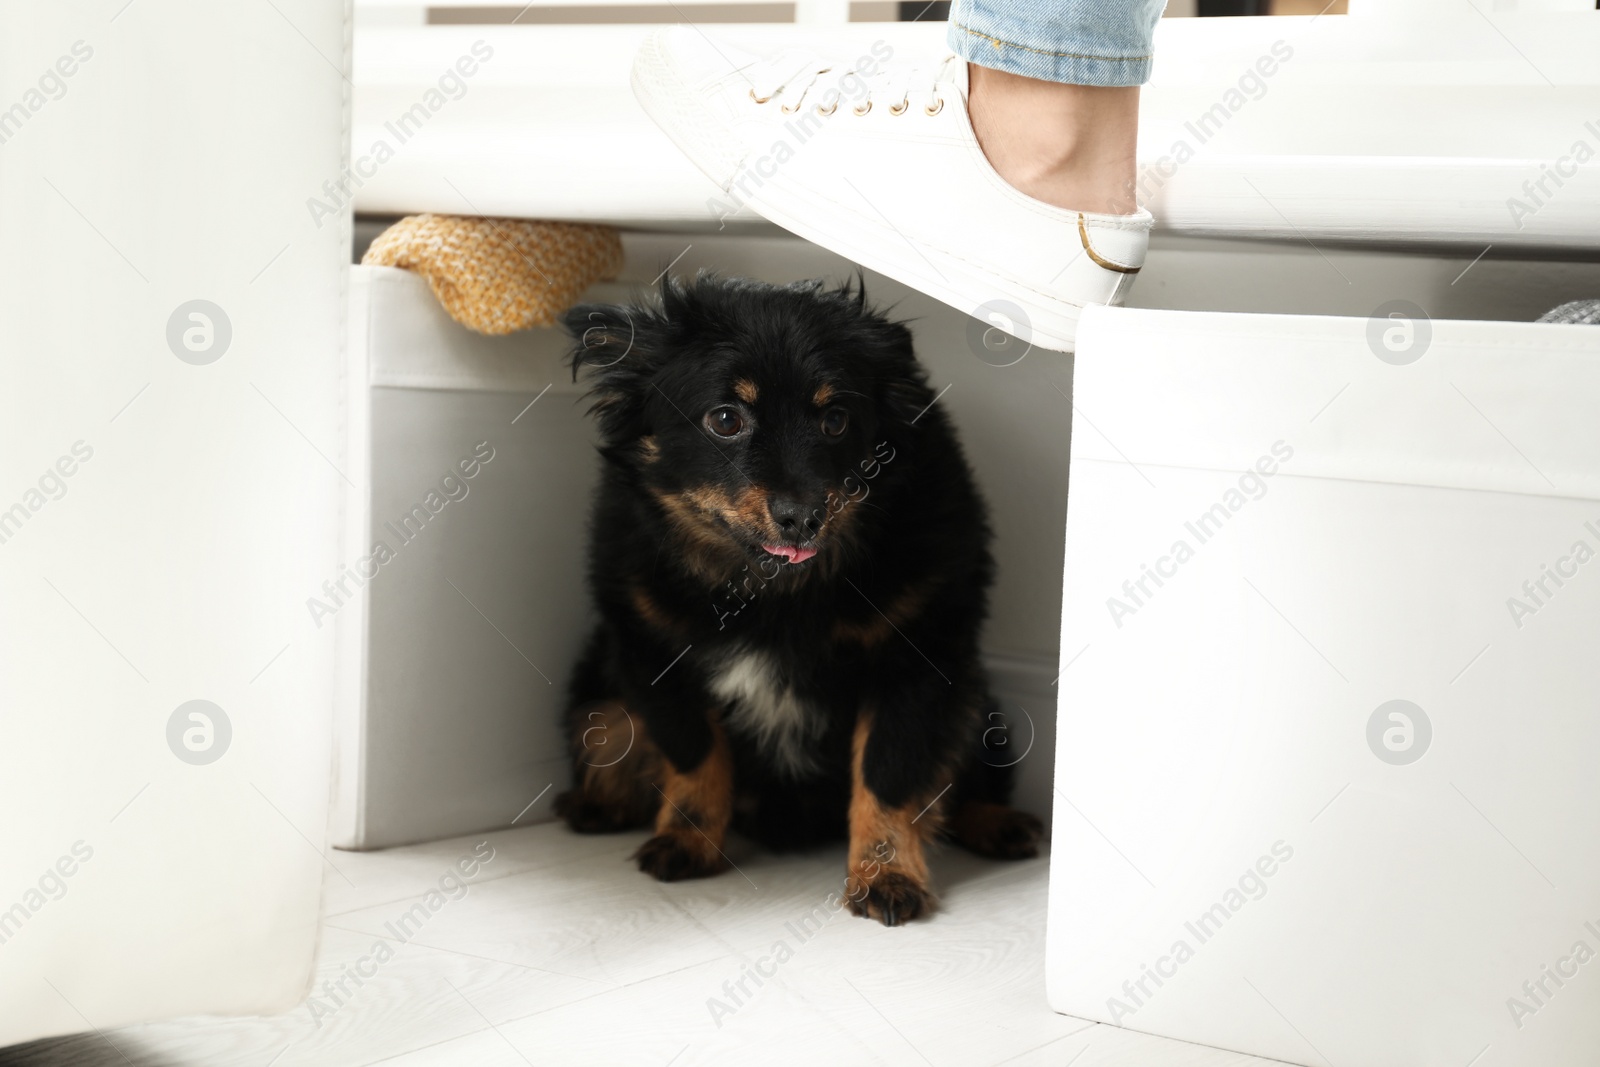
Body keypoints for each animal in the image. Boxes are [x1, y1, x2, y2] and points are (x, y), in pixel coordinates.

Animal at [556, 275, 1043, 927]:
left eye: (836, 419)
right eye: (726, 419)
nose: (805, 517)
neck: (776, 594)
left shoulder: (917, 663)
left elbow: (889, 774)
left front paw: (886, 876)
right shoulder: (652, 655)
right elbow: (695, 755)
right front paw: (686, 842)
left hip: (976, 702)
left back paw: (1000, 824)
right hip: (600, 704)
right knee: (611, 734)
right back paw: (592, 806)